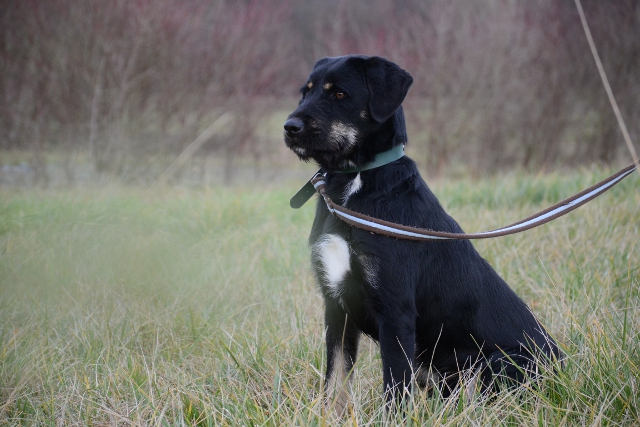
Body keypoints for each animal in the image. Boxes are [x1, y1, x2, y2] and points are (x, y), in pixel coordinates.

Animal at [284, 54, 560, 412]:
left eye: (340, 94)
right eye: (306, 92)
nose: (290, 127)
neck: (353, 183)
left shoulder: (395, 310)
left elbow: (394, 388)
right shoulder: (336, 306)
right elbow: (335, 383)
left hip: (499, 362)